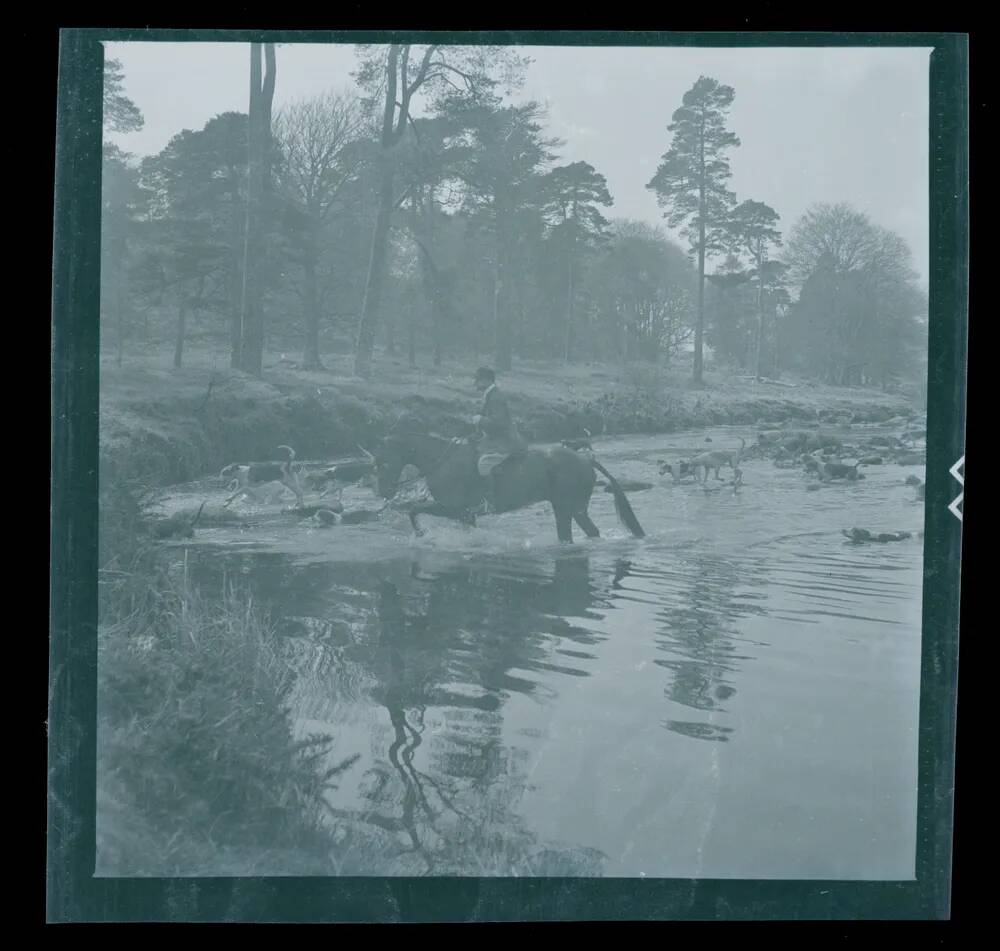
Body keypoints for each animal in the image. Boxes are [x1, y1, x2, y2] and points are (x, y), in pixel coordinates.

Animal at [376, 432, 648, 544]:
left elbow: (413, 510)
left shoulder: (455, 510)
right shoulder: (466, 516)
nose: (384, 492)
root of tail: (586, 459)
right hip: (566, 509)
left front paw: (422, 534)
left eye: (384, 461)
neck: (442, 461)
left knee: (588, 533)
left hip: (572, 508)